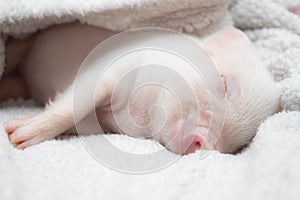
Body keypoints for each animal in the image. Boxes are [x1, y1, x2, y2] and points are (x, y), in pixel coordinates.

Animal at [0, 22, 282, 155]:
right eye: (224, 84)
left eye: (239, 144)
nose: (205, 141)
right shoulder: (112, 65)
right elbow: (75, 102)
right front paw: (16, 136)